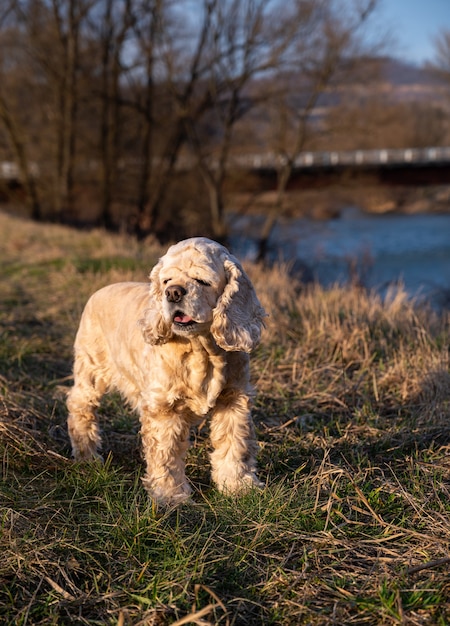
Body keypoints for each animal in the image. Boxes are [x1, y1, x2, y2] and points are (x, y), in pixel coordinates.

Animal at [67, 236, 268, 504]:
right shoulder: (164, 408)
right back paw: (87, 456)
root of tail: (99, 291)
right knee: (79, 405)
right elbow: (166, 456)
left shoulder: (234, 399)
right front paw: (171, 497)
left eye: (202, 281)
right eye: (166, 281)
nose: (173, 292)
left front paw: (237, 485)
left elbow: (235, 444)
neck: (201, 348)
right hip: (91, 368)